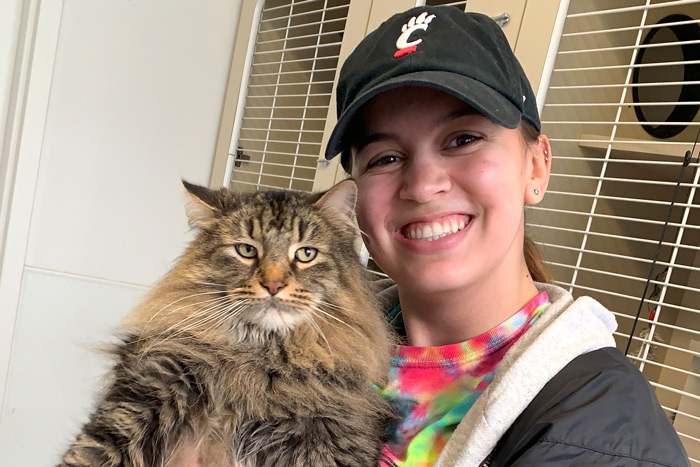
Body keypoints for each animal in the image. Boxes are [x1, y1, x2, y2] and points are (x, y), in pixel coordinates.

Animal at [58, 180, 394, 467]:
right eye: (246, 250)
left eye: (306, 254)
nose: (273, 284)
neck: (260, 360)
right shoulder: (149, 388)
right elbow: (92, 452)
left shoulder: (328, 435)